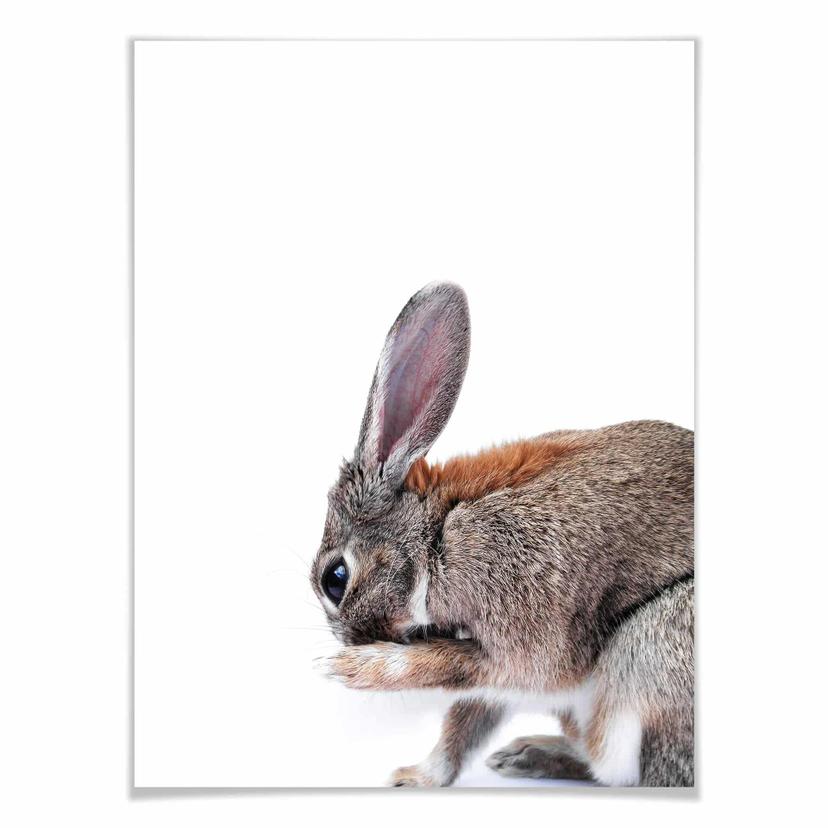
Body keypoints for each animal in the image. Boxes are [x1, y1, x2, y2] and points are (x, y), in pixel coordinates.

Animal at [312, 282, 693, 787]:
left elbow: (456, 670)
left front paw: (353, 669)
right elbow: (464, 722)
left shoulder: (520, 641)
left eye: (334, 578)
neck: (436, 536)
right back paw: (524, 754)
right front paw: (415, 779)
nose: (349, 641)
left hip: (652, 643)